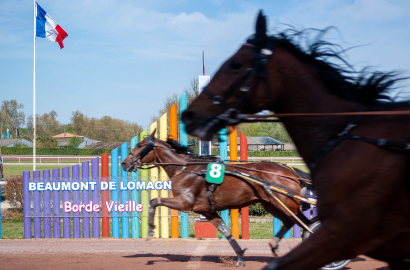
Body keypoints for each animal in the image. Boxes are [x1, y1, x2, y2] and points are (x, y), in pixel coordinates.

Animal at [120, 132, 312, 266]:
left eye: (139, 145)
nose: (124, 163)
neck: (185, 168)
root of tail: (290, 171)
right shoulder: (206, 210)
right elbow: (225, 231)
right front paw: (240, 257)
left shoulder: (184, 203)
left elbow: (154, 201)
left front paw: (150, 231)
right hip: (271, 204)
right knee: (291, 222)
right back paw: (274, 245)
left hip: (285, 203)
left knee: (305, 223)